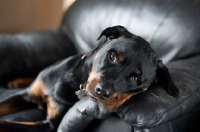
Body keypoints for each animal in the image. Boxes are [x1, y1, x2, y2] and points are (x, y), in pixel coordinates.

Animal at [0, 25, 179, 131]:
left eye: (135, 79)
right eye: (112, 56)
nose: (102, 91)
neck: (77, 81)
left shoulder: (50, 125)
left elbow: (9, 123)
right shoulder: (24, 95)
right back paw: (16, 81)